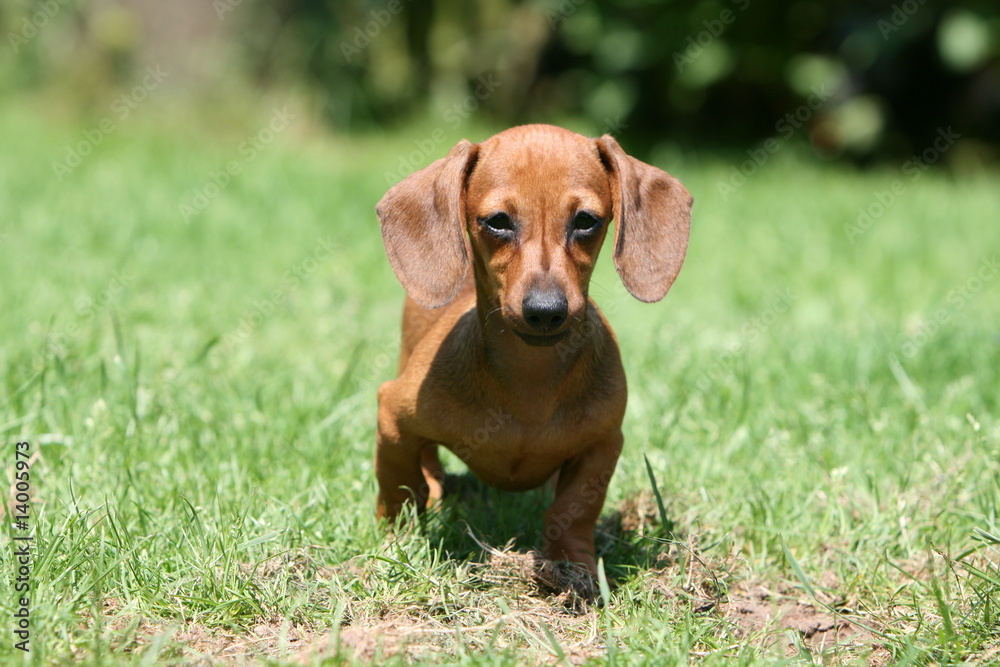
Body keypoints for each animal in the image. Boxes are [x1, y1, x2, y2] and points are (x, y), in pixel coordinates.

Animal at [372, 124, 692, 576]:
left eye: (586, 221)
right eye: (498, 222)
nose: (545, 310)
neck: (530, 380)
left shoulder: (603, 445)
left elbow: (573, 509)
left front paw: (573, 566)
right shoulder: (393, 415)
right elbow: (399, 482)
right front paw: (396, 537)